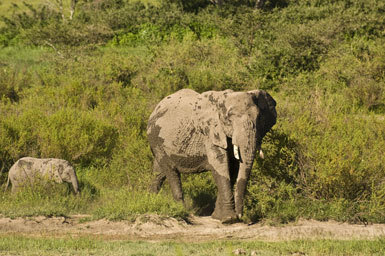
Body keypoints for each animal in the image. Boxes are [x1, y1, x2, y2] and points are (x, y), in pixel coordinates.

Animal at [146, 88, 274, 222]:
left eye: (259, 118)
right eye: (229, 119)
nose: (240, 216)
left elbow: (233, 168)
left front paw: (218, 217)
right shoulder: (210, 132)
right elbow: (220, 164)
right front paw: (229, 219)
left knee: (158, 173)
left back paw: (150, 202)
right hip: (155, 138)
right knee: (171, 172)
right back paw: (181, 211)